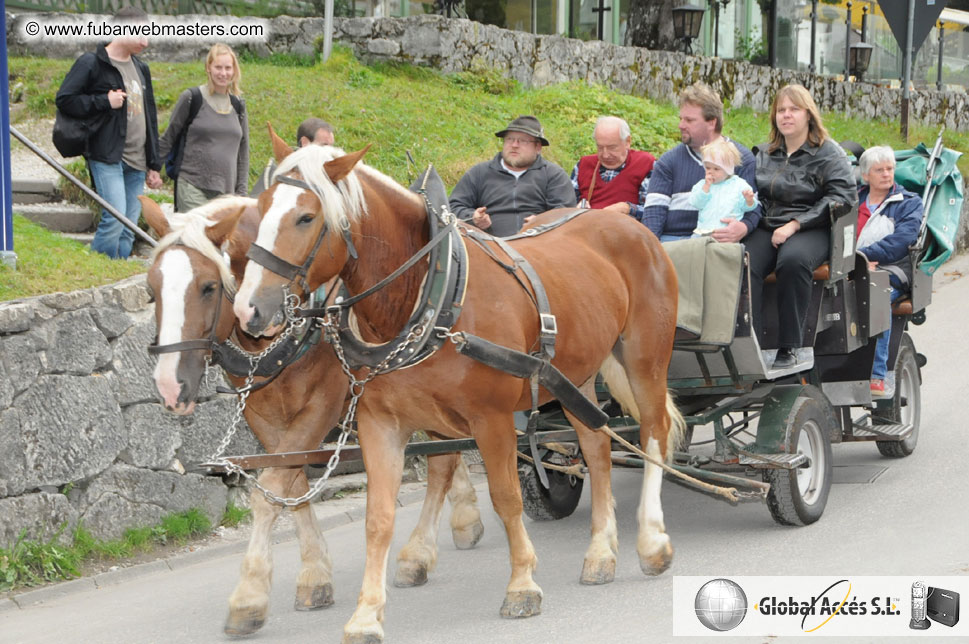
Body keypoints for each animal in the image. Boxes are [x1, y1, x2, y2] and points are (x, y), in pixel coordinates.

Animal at [138, 196, 484, 640]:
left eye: (208, 287)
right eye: (152, 289)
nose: (169, 386)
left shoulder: (321, 405)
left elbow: (269, 491)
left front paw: (249, 597)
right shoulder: (265, 416)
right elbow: (292, 486)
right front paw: (315, 575)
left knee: (442, 463)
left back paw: (419, 552)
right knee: (448, 454)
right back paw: (464, 518)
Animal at [233, 132, 688, 644]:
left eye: (306, 217)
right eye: (261, 207)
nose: (248, 310)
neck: (429, 295)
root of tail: (623, 223)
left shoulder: (492, 421)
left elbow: (506, 499)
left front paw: (522, 583)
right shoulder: (380, 424)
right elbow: (379, 518)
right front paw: (367, 614)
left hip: (645, 358)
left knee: (652, 432)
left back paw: (651, 541)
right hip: (577, 374)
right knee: (596, 445)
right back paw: (601, 552)